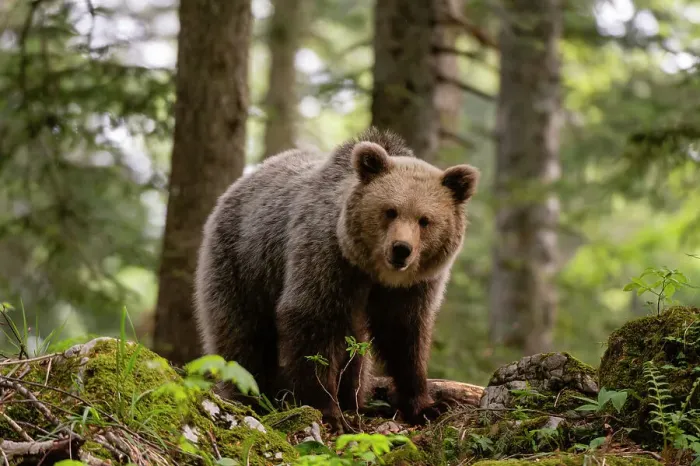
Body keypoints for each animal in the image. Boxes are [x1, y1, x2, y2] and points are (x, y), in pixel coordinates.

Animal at [193, 127, 480, 430]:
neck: (372, 271)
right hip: (243, 264)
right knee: (242, 336)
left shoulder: (413, 287)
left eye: (425, 220)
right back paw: (251, 396)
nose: (401, 249)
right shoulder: (326, 258)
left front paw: (426, 406)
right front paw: (327, 411)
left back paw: (354, 401)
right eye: (390, 211)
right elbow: (312, 320)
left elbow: (404, 337)